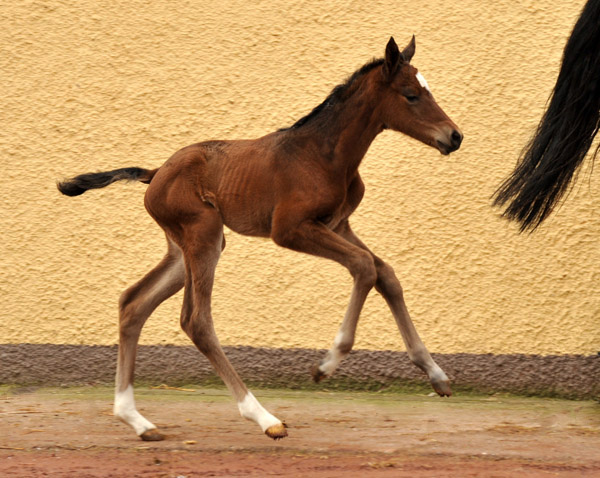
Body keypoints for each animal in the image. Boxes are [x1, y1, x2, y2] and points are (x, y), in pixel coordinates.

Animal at [59, 36, 464, 440]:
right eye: (411, 95)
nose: (454, 136)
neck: (324, 154)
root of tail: (156, 173)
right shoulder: (290, 229)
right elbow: (365, 267)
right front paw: (326, 364)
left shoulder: (338, 225)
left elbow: (387, 275)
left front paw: (436, 375)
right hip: (203, 234)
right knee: (196, 320)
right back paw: (265, 418)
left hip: (183, 247)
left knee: (133, 304)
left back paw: (137, 420)